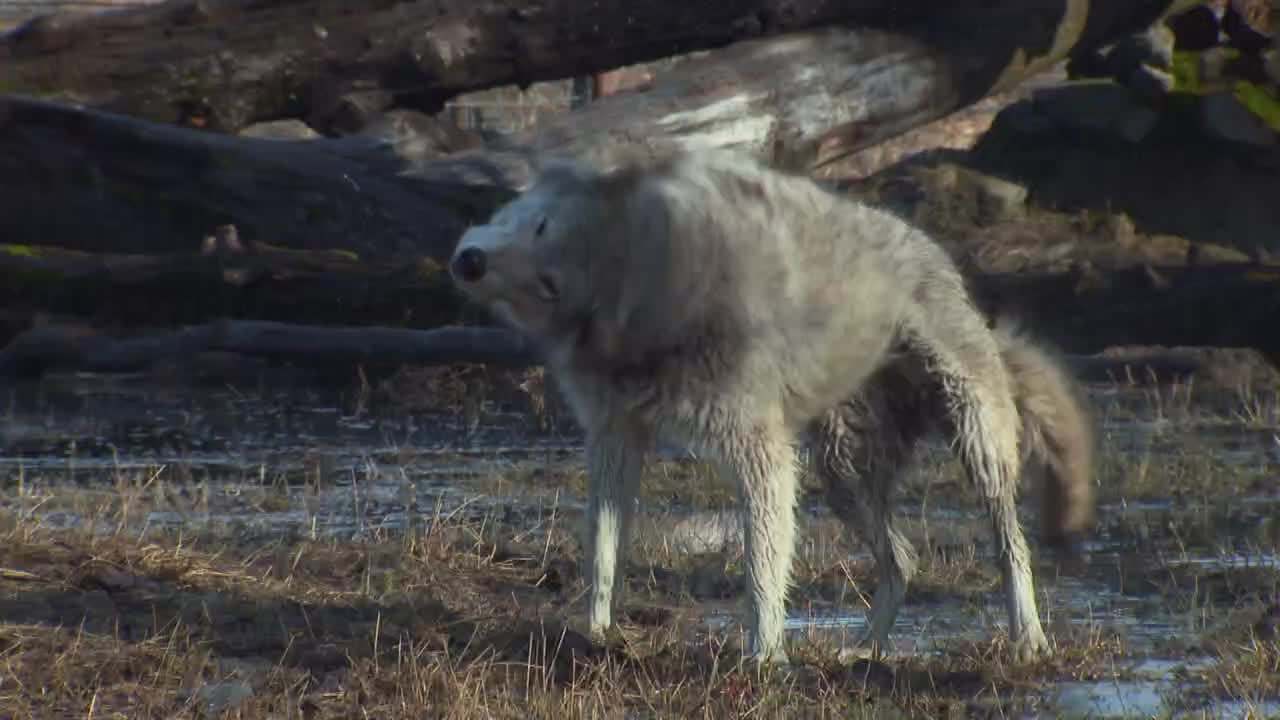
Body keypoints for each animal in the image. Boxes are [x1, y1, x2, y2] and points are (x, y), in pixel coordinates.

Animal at [445, 148, 1095, 666]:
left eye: (543, 236)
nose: (470, 263)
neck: (655, 286)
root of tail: (939, 255)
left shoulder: (759, 454)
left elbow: (760, 571)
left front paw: (763, 659)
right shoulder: (616, 437)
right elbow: (602, 556)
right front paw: (595, 636)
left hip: (972, 442)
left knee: (1010, 546)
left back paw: (1027, 638)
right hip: (841, 476)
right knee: (904, 561)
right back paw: (864, 650)